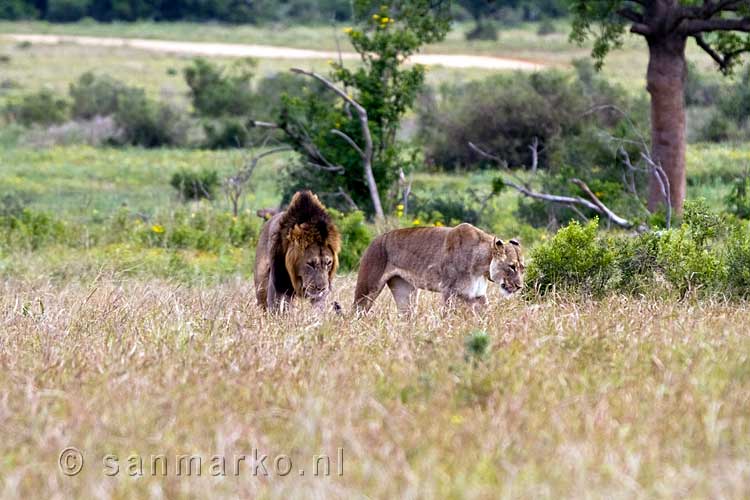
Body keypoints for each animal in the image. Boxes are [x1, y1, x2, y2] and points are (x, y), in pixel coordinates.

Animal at [356, 223, 524, 312]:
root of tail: (375, 239)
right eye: (511, 267)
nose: (519, 286)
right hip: (367, 289)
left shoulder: (477, 296)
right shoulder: (449, 291)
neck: (481, 267)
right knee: (356, 313)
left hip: (405, 291)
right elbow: (449, 317)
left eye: (523, 268)